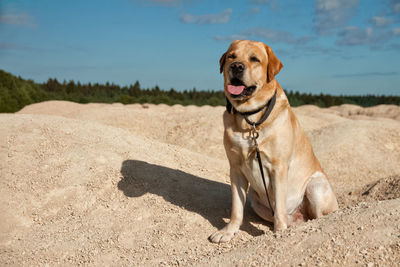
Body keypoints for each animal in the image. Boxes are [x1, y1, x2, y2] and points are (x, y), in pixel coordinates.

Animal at [209, 40, 338, 245]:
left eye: (254, 59)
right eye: (231, 56)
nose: (236, 66)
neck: (249, 120)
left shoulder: (278, 168)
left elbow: (279, 208)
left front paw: (279, 233)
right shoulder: (235, 169)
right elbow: (236, 209)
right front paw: (228, 231)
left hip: (315, 186)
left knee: (318, 216)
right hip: (256, 200)